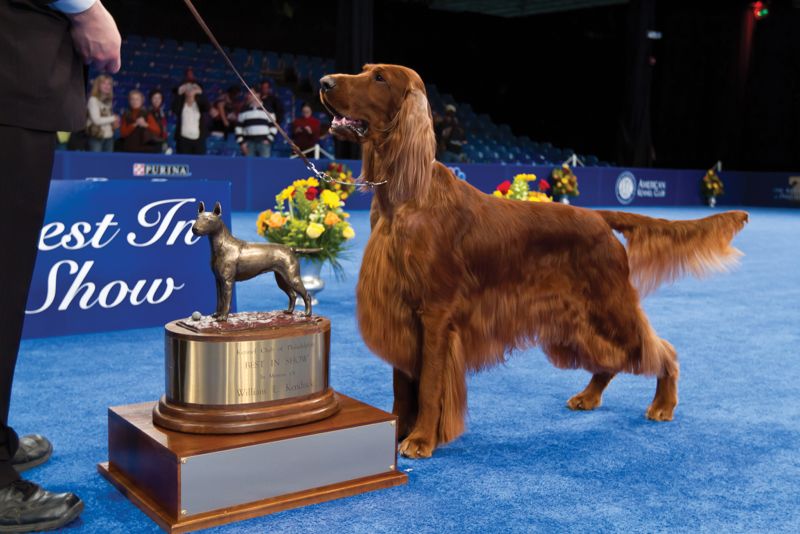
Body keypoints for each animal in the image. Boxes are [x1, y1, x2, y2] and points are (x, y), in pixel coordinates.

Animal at [318, 65, 752, 460]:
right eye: (363, 70)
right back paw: (589, 396)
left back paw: (663, 404)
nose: (324, 82)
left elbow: (427, 384)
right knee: (612, 358)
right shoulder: (400, 310)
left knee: (661, 350)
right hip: (578, 318)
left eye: (378, 78)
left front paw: (422, 440)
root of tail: (598, 217)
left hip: (610, 304)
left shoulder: (435, 314)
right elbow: (401, 385)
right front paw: (399, 432)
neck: (405, 195)